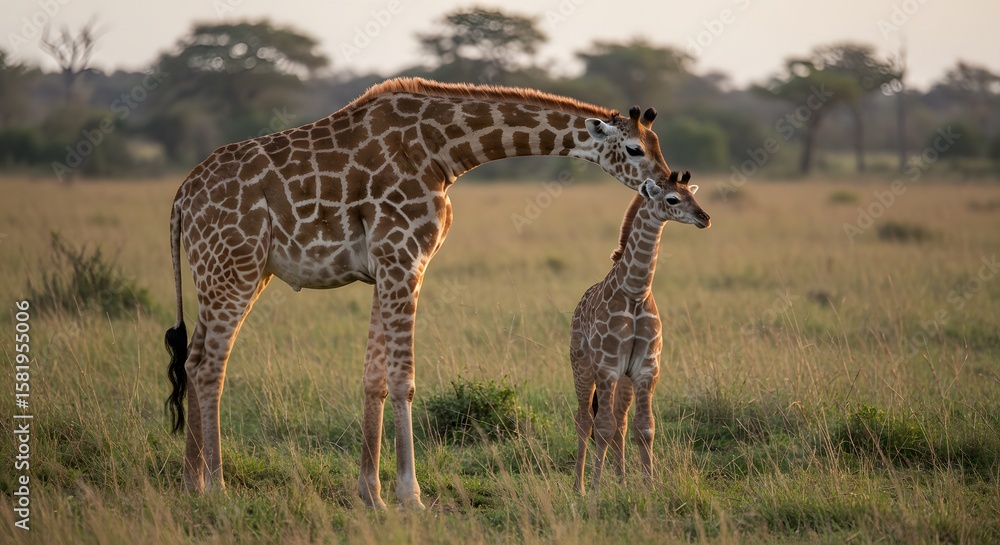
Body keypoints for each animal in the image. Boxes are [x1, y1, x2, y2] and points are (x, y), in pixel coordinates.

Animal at [570, 170, 708, 495]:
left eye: (693, 195)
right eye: (672, 199)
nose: (705, 217)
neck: (635, 292)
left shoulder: (646, 369)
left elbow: (644, 428)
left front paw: (649, 487)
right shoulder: (607, 367)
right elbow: (602, 427)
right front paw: (596, 489)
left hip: (624, 379)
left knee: (620, 422)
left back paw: (620, 480)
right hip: (582, 367)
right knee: (585, 420)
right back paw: (579, 486)